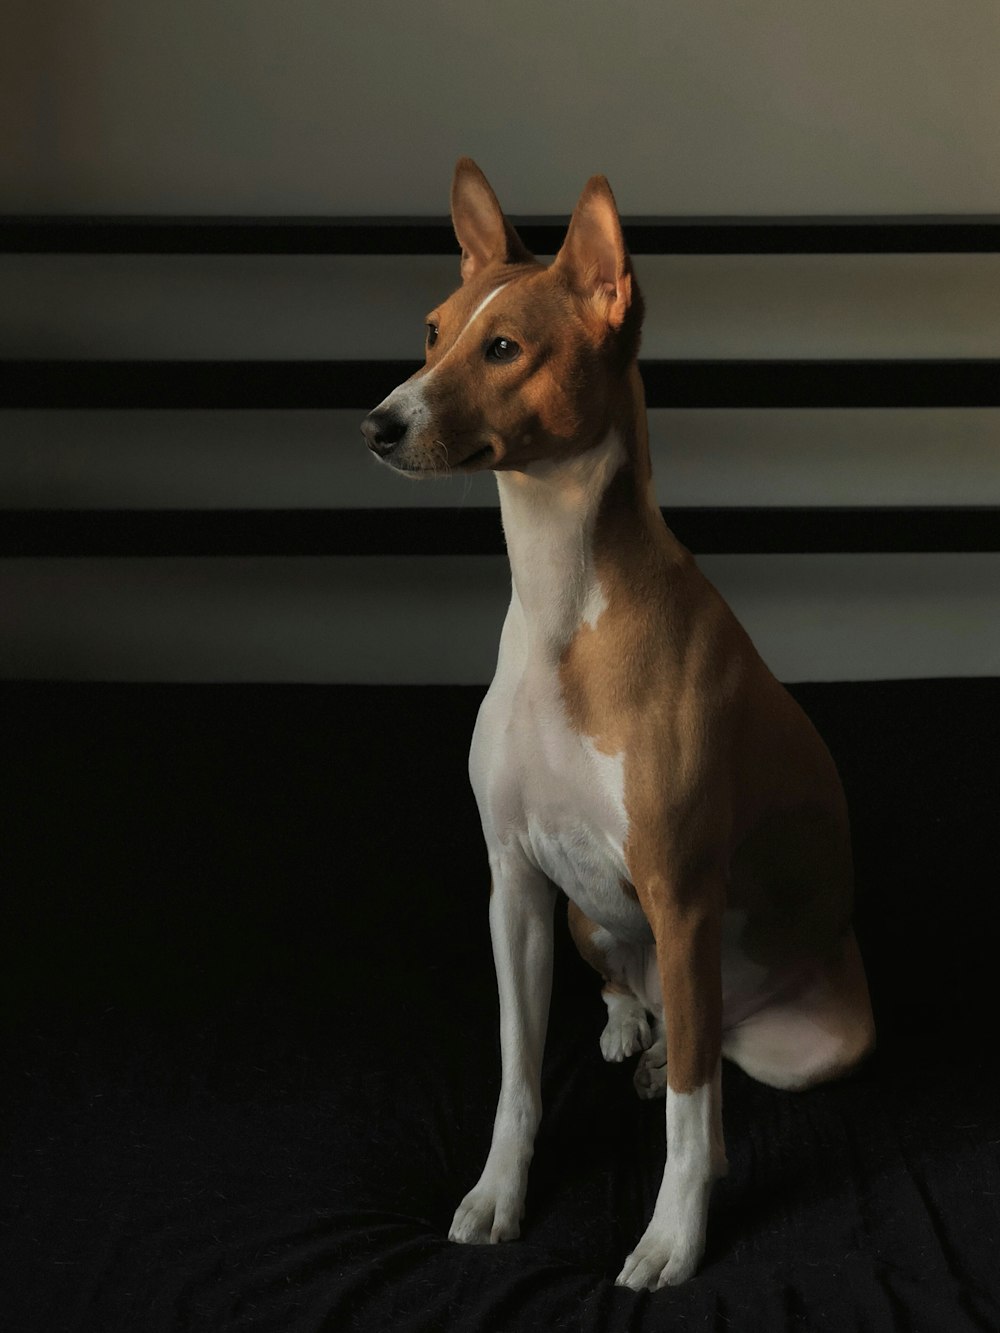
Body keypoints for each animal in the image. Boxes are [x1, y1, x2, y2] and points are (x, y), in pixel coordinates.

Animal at [362, 158, 874, 1290]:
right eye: (434, 331)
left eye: (504, 348)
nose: (376, 421)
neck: (563, 605)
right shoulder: (512, 882)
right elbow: (517, 1072)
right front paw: (498, 1192)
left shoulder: (680, 895)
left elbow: (689, 1114)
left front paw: (672, 1236)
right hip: (589, 921)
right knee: (641, 1005)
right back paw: (628, 1027)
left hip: (805, 1031)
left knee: (711, 1061)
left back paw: (672, 1062)